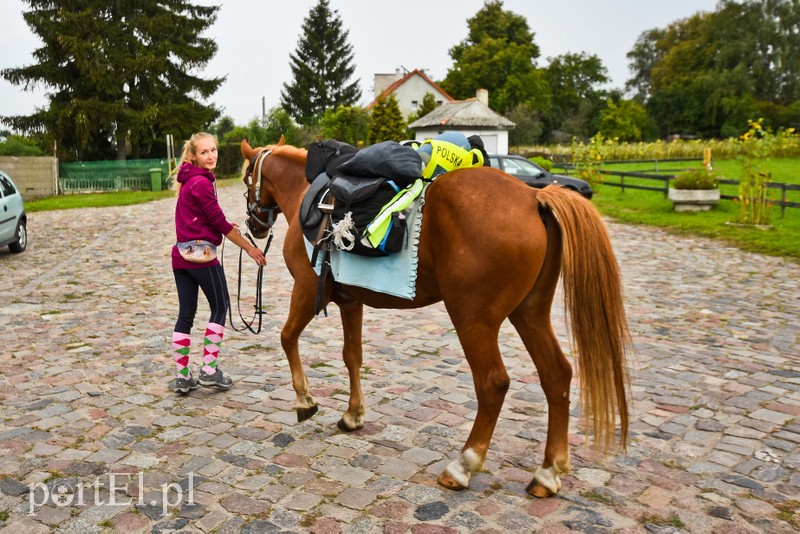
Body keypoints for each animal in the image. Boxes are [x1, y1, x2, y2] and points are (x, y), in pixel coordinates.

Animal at [241, 138, 628, 498]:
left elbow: (287, 337)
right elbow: (352, 357)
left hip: (473, 320)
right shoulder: (351, 303)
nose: (253, 225)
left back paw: (464, 465)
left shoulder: (307, 292)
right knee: (556, 375)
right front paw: (353, 414)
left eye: (247, 179)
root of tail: (534, 197)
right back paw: (548, 472)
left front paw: (304, 400)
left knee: (493, 383)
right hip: (530, 313)